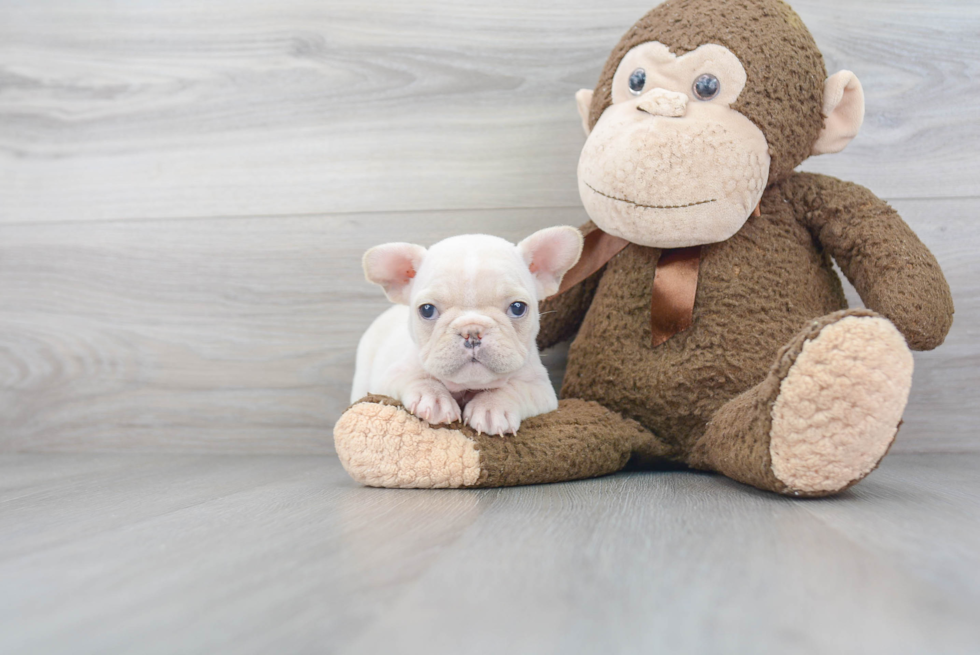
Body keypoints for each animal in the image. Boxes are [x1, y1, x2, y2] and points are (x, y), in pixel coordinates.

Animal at [350, 226, 580, 436]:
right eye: (427, 310)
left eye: (518, 308)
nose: (472, 331)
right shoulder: (390, 378)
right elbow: (418, 378)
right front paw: (433, 397)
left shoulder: (541, 389)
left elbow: (513, 388)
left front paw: (493, 407)